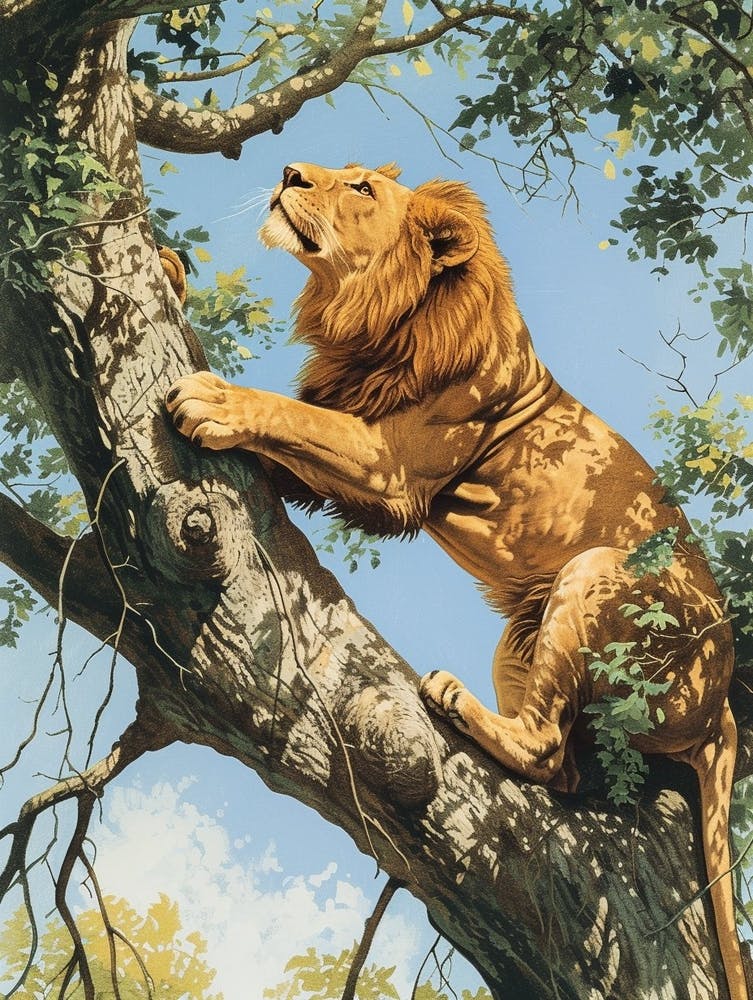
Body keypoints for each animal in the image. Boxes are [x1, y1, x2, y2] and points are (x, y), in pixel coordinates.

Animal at [164, 162, 744, 999]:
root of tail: (723, 704)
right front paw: (170, 273)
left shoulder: (386, 469)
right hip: (522, 634)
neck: (376, 316)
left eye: (361, 187)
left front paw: (213, 397)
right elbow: (288, 427)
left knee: (544, 747)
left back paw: (454, 700)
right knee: (566, 768)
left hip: (593, 573)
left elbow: (289, 416)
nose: (289, 172)